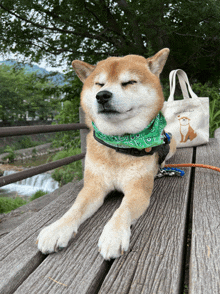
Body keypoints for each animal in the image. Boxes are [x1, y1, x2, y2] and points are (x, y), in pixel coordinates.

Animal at [37, 48, 176, 260]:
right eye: (99, 84)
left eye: (129, 82)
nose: (102, 95)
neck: (119, 144)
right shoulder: (94, 187)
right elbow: (75, 209)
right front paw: (56, 229)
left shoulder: (138, 190)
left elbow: (122, 210)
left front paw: (113, 235)